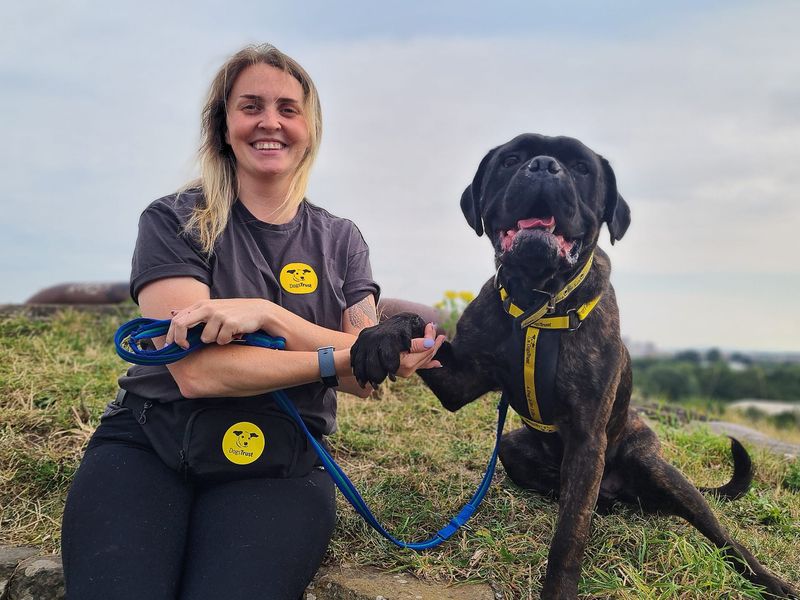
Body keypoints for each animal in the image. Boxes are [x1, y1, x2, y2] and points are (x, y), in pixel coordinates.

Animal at [354, 136, 796, 600]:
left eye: (582, 168)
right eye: (510, 159)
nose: (543, 166)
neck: (537, 304)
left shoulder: (587, 439)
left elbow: (568, 539)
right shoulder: (459, 381)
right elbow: (413, 324)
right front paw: (381, 336)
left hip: (659, 469)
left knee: (722, 536)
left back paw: (770, 579)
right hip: (512, 446)